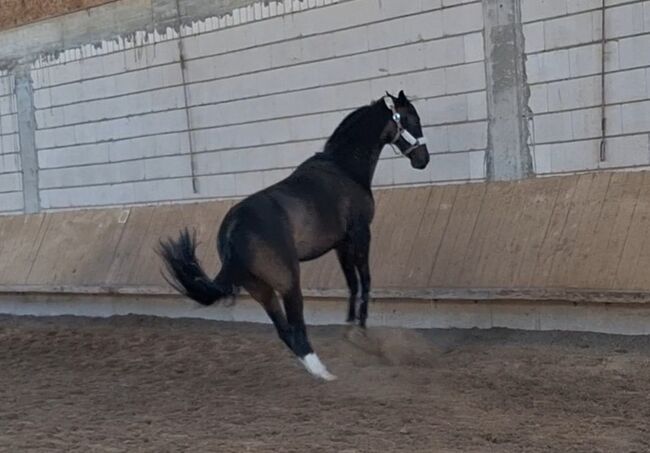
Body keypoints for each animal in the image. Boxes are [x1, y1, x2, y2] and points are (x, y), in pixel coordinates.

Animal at [158, 90, 428, 380]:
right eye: (413, 119)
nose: (423, 160)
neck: (343, 168)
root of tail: (232, 231)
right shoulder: (360, 235)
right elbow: (365, 281)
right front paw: (361, 330)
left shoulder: (341, 244)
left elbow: (352, 284)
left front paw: (350, 327)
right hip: (288, 284)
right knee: (296, 330)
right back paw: (326, 375)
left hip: (261, 290)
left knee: (285, 332)